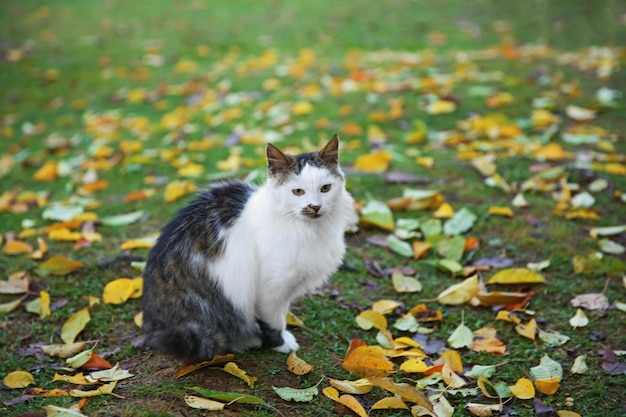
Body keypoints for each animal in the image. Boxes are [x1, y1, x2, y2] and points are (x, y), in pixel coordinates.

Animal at [142, 136, 356, 360]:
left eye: (325, 188)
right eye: (298, 191)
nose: (315, 206)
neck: (308, 229)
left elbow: (281, 313)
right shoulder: (270, 289)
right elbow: (274, 321)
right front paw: (280, 343)